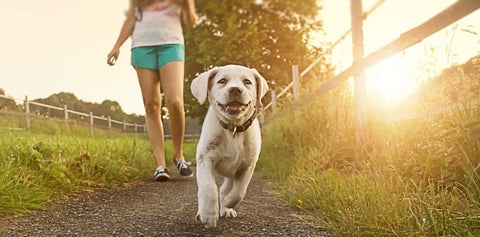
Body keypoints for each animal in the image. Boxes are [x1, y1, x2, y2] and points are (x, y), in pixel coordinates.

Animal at [189, 64, 268, 228]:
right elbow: (208, 187)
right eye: (222, 81)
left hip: (231, 175)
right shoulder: (205, 159)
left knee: (225, 189)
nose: (235, 90)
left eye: (247, 82)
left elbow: (239, 192)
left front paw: (227, 204)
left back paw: (226, 208)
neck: (234, 129)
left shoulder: (247, 167)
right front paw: (209, 214)